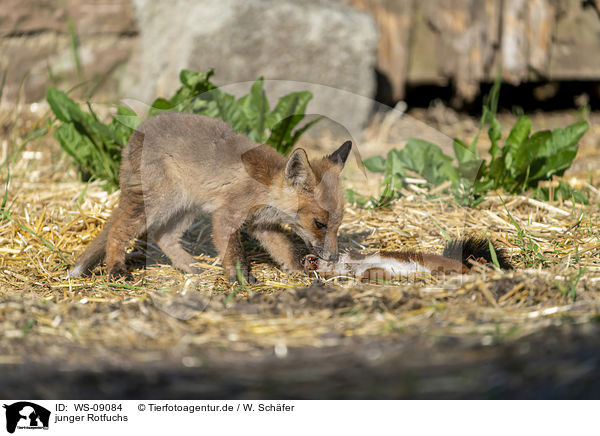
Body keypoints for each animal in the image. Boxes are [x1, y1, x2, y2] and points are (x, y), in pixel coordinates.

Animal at [69, 112, 352, 282]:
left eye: (337, 225)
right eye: (319, 223)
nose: (334, 257)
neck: (267, 188)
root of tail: (137, 133)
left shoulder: (262, 225)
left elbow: (283, 249)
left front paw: (296, 269)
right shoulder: (226, 215)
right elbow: (234, 251)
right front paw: (239, 278)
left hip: (185, 207)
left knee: (163, 236)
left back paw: (189, 266)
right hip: (161, 202)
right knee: (118, 230)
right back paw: (116, 269)